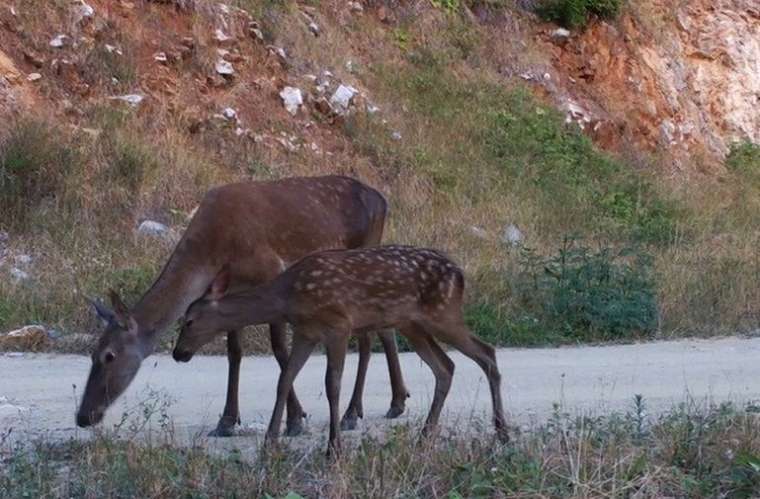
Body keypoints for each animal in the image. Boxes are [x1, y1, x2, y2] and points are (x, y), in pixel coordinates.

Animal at [75, 176, 410, 438]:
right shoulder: (232, 290)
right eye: (91, 354)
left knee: (370, 334)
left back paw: (354, 412)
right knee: (384, 327)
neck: (214, 252)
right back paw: (397, 400)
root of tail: (384, 200)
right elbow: (234, 352)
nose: (83, 417)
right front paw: (226, 420)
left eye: (109, 356)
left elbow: (279, 349)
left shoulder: (271, 272)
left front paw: (295, 420)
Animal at [177, 244, 510, 456]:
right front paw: (270, 441)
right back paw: (425, 437)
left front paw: (333, 447)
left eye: (189, 320)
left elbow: (332, 384)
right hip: (411, 324)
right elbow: (284, 379)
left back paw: (502, 433)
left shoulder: (338, 325)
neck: (286, 298)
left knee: (486, 353)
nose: (179, 353)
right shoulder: (306, 332)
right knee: (446, 367)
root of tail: (461, 275)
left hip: (443, 313)